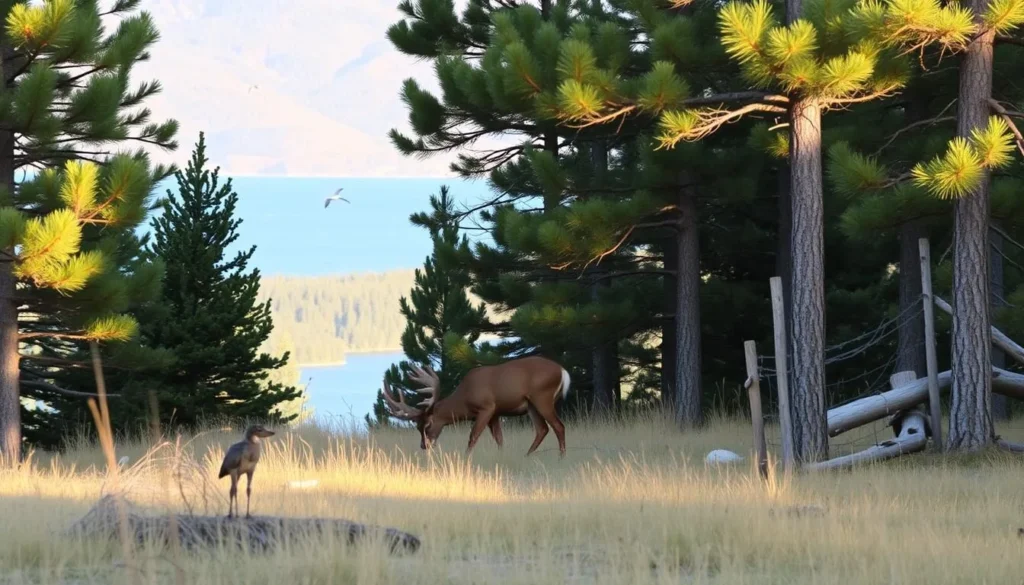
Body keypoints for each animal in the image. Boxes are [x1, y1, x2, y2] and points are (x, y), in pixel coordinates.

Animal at [380, 356, 571, 457]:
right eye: (417, 427)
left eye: (427, 425)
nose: (424, 445)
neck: (464, 399)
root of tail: (563, 371)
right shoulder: (495, 414)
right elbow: (499, 439)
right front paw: (501, 455)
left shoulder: (487, 407)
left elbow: (473, 437)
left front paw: (466, 458)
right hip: (531, 405)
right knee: (542, 429)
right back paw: (527, 455)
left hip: (542, 396)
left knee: (558, 426)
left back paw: (561, 457)